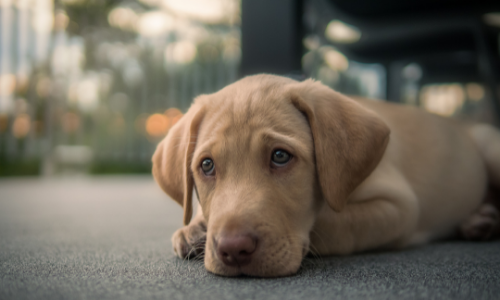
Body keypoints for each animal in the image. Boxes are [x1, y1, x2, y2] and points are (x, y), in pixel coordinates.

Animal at [152, 74, 500, 278]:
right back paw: (480, 220)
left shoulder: (400, 208)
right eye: (207, 166)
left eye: (280, 156)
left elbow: (332, 223)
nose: (233, 249)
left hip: (490, 145)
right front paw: (194, 229)